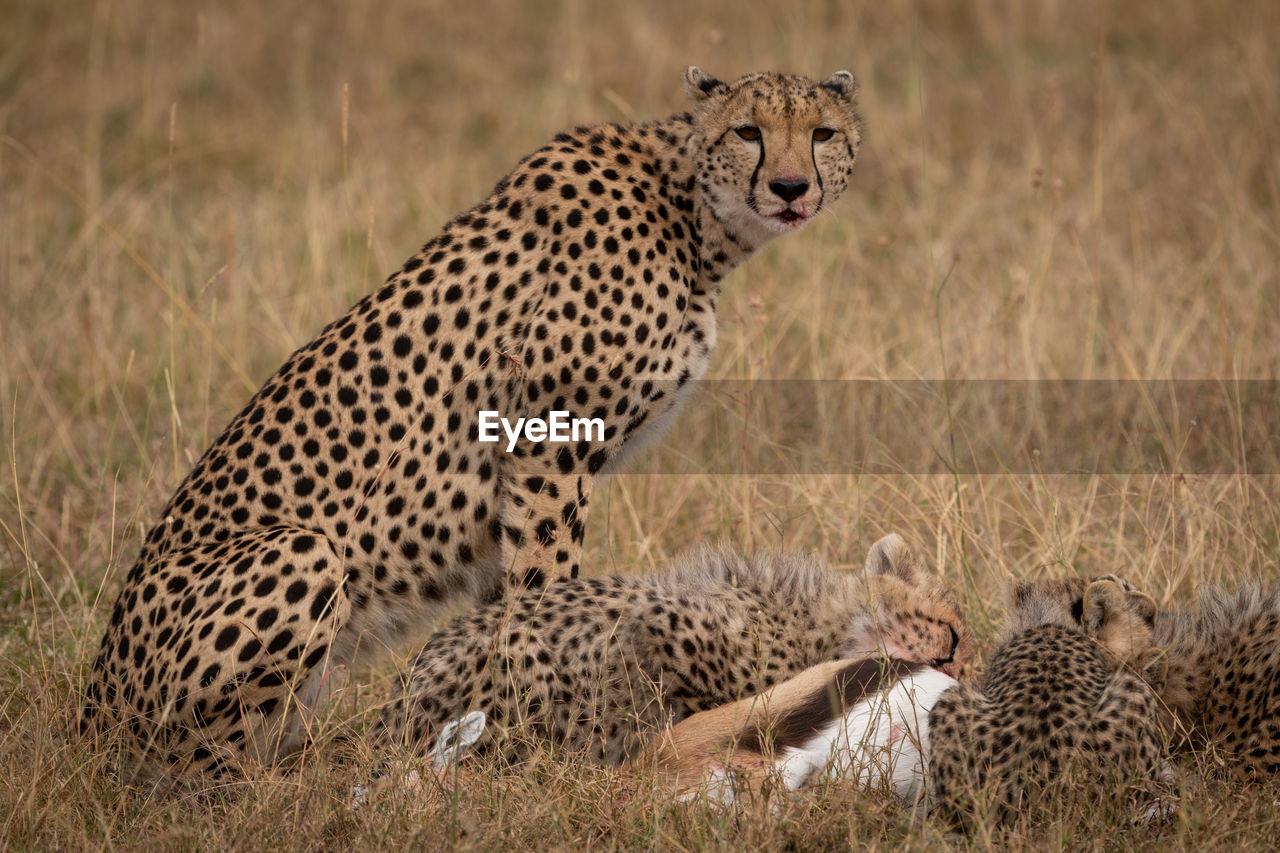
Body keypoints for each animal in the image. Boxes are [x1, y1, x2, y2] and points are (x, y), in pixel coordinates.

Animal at [77, 66, 860, 768]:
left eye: (821, 133)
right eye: (748, 132)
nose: (791, 188)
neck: (694, 215)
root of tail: (90, 712)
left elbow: (507, 595)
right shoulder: (550, 438)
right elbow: (548, 579)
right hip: (301, 553)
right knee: (205, 773)